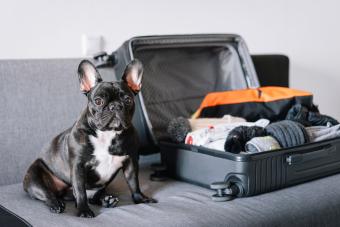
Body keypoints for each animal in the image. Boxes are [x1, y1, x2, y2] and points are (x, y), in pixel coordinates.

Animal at [23, 59, 156, 218]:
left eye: (128, 100)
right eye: (98, 101)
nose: (115, 106)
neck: (107, 134)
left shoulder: (131, 161)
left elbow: (134, 182)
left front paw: (140, 199)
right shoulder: (78, 166)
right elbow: (80, 191)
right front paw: (83, 210)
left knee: (92, 196)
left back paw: (107, 200)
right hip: (34, 177)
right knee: (47, 193)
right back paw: (56, 203)